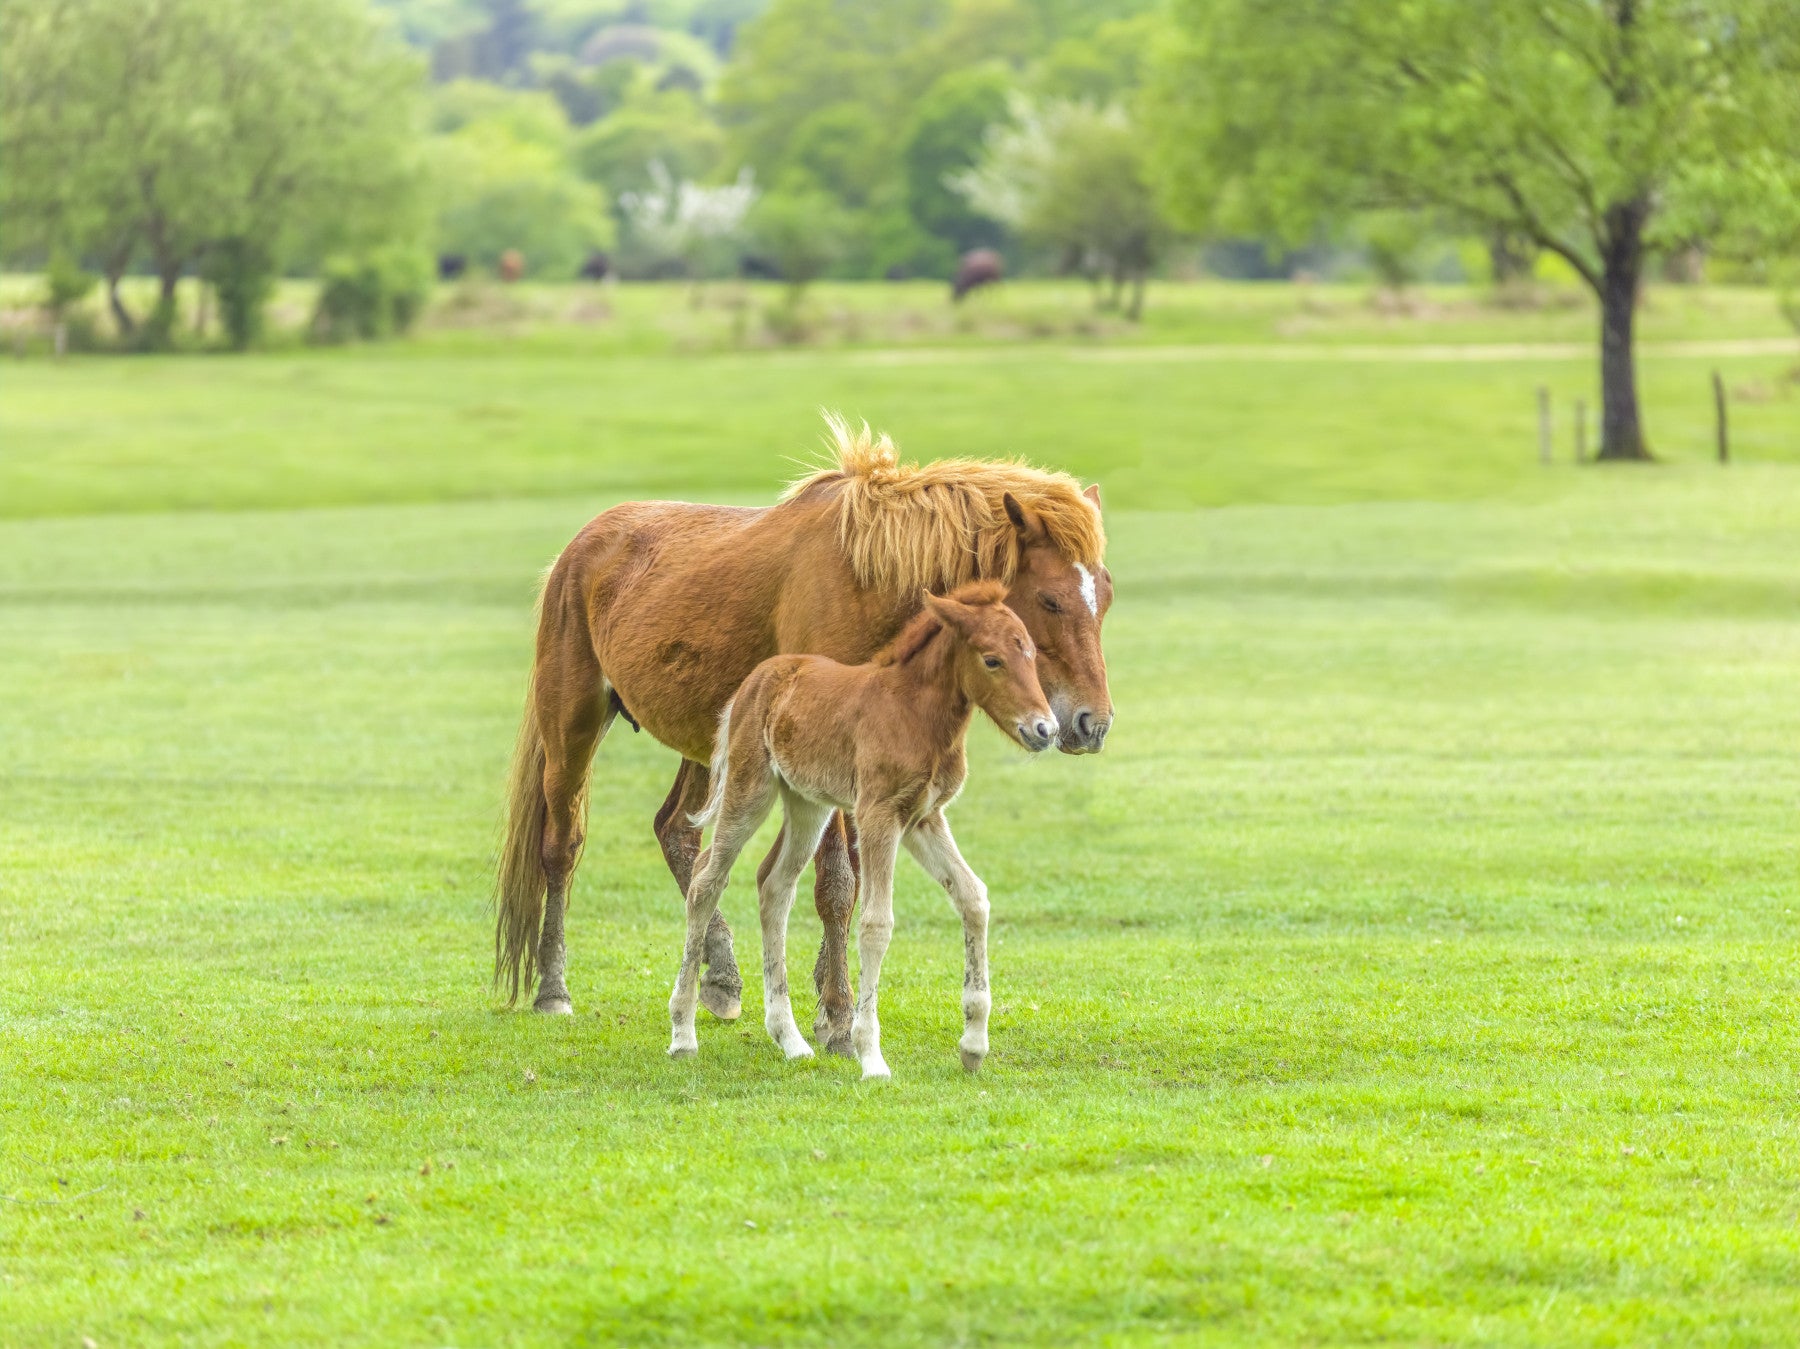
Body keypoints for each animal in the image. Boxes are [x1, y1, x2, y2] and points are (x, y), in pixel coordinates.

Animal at [669, 582, 1055, 1078]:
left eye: (1031, 652)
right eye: (992, 660)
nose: (1045, 729)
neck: (915, 713)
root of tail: (756, 679)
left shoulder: (923, 818)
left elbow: (973, 897)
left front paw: (973, 1045)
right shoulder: (877, 815)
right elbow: (876, 922)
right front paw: (870, 1056)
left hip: (808, 804)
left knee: (775, 885)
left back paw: (790, 1039)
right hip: (749, 789)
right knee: (707, 880)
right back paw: (683, 1034)